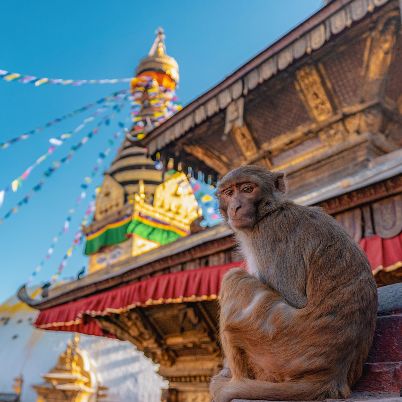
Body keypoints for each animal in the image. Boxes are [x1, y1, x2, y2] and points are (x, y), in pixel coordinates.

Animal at [210, 164, 376, 402]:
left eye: (248, 189)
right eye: (229, 193)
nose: (236, 206)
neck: (270, 211)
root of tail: (330, 376)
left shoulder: (268, 235)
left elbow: (294, 297)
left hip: (274, 349)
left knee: (234, 279)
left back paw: (237, 382)